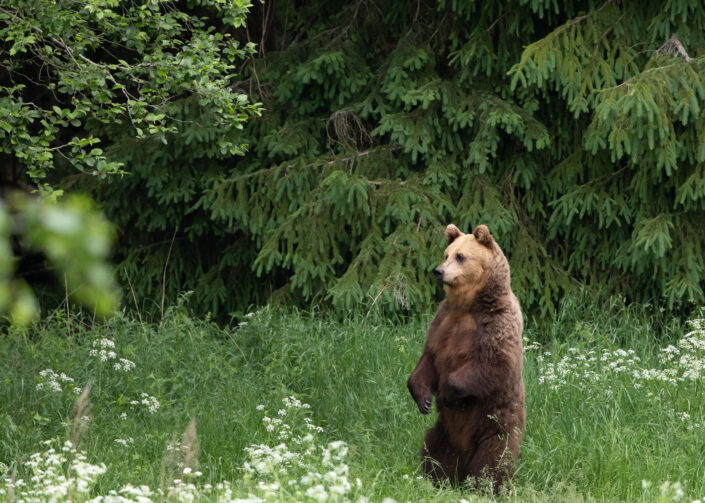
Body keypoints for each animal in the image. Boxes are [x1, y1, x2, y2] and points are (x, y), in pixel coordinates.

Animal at [408, 224, 524, 492]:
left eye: (461, 256)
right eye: (446, 253)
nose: (439, 271)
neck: (467, 305)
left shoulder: (496, 324)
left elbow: (493, 364)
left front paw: (447, 394)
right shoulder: (442, 323)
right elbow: (428, 360)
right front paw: (424, 400)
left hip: (494, 426)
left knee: (495, 459)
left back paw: (487, 487)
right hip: (444, 433)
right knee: (433, 450)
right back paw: (436, 478)